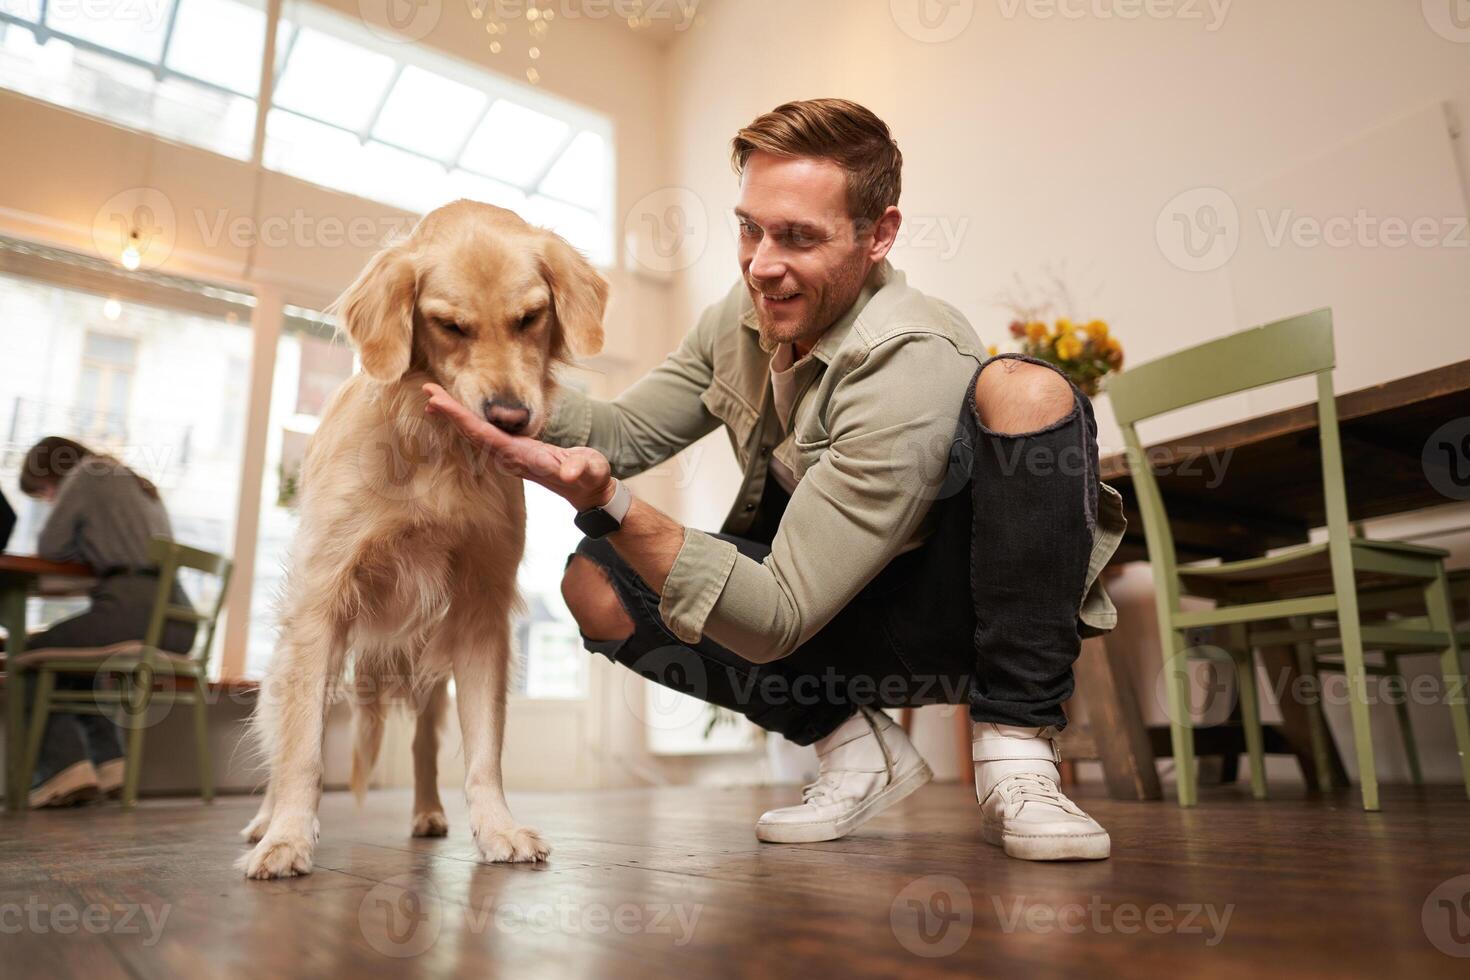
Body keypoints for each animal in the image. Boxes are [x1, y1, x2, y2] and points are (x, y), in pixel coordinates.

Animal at [238, 199, 605, 881]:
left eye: (529, 318)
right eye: (450, 326)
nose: (511, 418)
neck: (435, 446)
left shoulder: (483, 611)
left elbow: (484, 749)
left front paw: (497, 828)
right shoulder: (321, 608)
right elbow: (302, 750)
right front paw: (288, 836)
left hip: (431, 667)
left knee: (423, 744)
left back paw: (429, 812)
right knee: (286, 733)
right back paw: (264, 819)